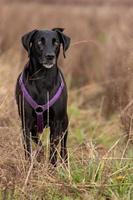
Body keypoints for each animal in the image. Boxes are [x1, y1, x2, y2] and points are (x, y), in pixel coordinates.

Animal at [15, 27, 70, 166]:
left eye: (56, 43)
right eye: (39, 42)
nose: (50, 56)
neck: (43, 78)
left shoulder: (56, 123)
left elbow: (53, 149)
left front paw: (52, 168)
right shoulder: (26, 123)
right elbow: (28, 148)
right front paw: (29, 165)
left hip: (65, 122)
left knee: (63, 146)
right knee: (39, 143)